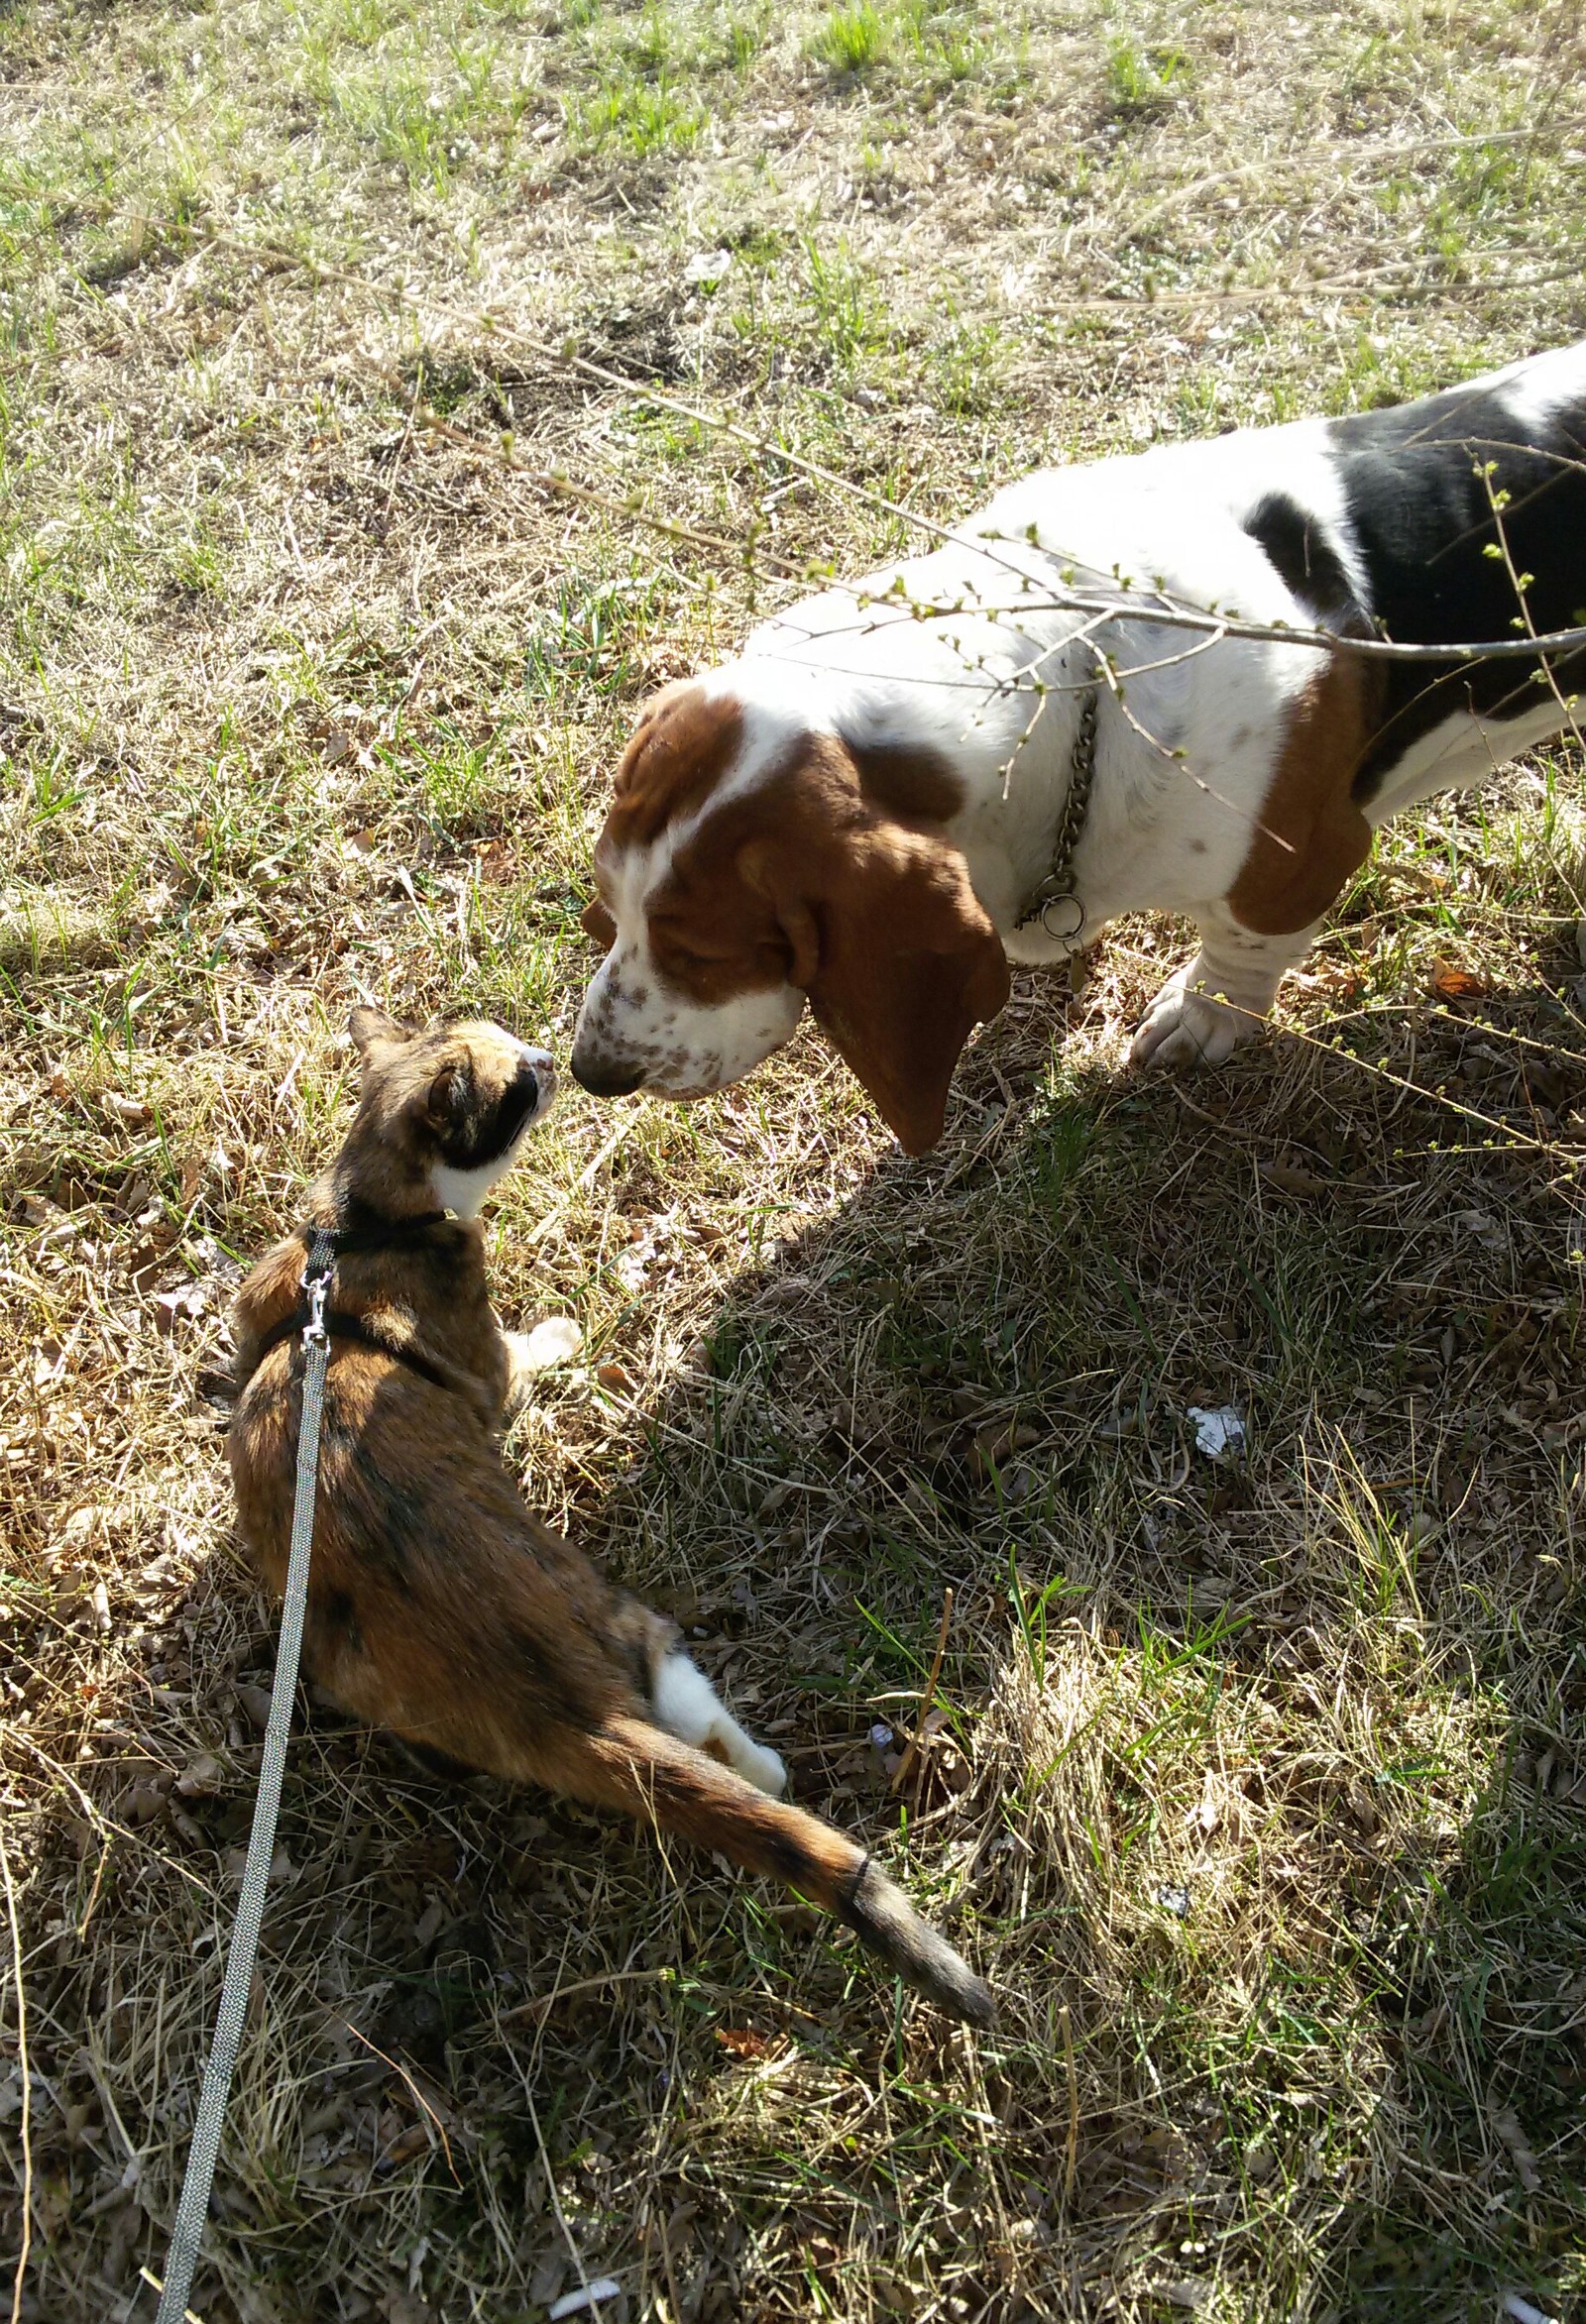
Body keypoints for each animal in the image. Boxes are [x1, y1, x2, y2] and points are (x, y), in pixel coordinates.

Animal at [574, 339, 1581, 1157]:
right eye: (607, 905)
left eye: (707, 954)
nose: (591, 1073)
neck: (1079, 655)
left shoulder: (1296, 867)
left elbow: (1238, 956)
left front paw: (1200, 1020)